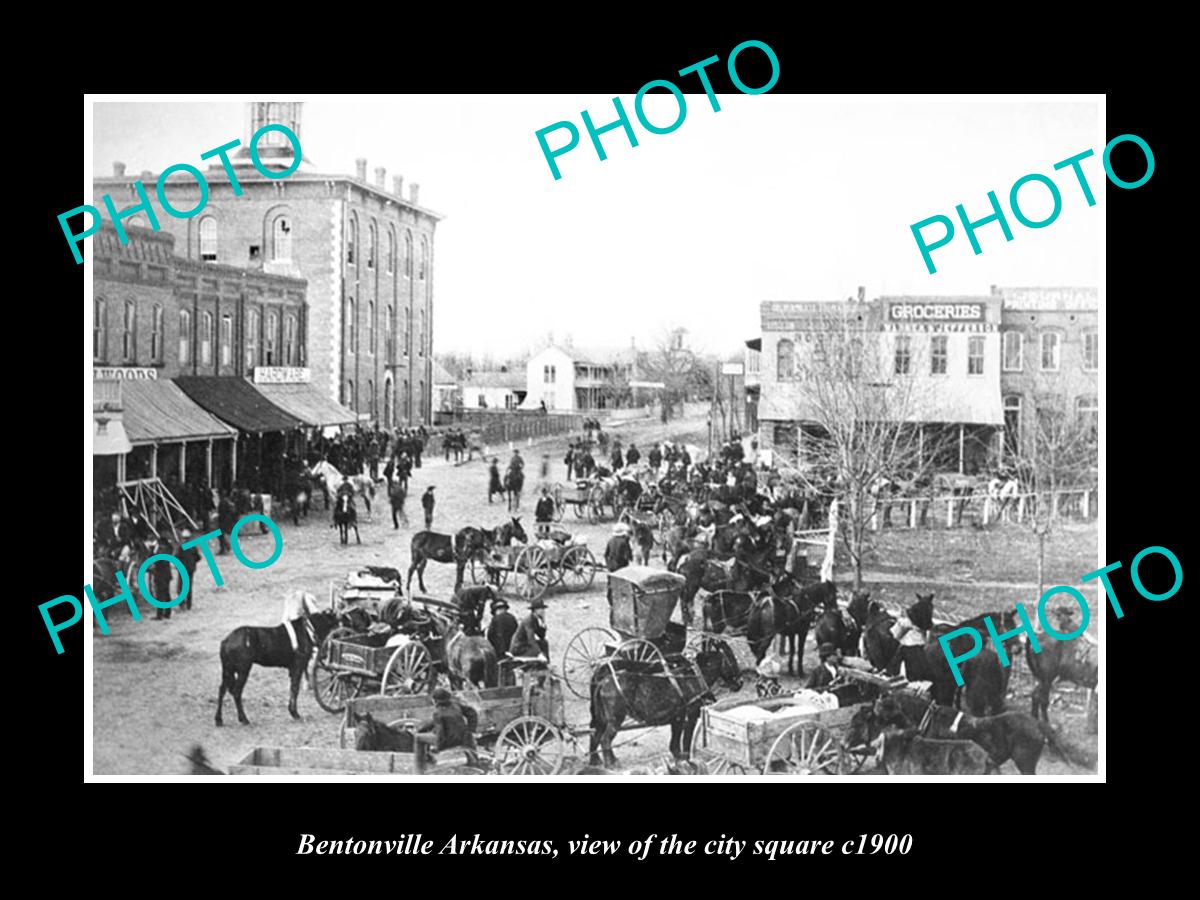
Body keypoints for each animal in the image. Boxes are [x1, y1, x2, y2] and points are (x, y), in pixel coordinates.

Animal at [588, 638, 744, 772]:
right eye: (731, 659)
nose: (740, 683)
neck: (694, 675)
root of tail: (604, 680)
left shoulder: (677, 717)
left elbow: (675, 742)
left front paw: (679, 761)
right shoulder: (691, 714)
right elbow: (686, 740)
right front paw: (688, 761)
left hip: (602, 718)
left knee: (595, 735)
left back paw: (596, 761)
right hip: (615, 719)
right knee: (605, 740)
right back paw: (610, 764)